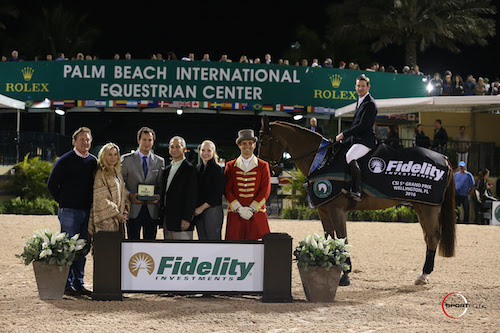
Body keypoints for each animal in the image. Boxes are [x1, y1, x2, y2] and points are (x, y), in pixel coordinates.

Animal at [258, 115, 458, 284]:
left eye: (264, 141)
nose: (267, 168)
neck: (323, 160)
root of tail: (444, 158)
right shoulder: (324, 210)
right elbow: (329, 238)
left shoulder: (336, 210)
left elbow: (342, 239)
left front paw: (345, 274)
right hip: (421, 206)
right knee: (428, 237)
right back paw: (423, 275)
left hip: (428, 207)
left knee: (433, 236)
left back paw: (423, 275)